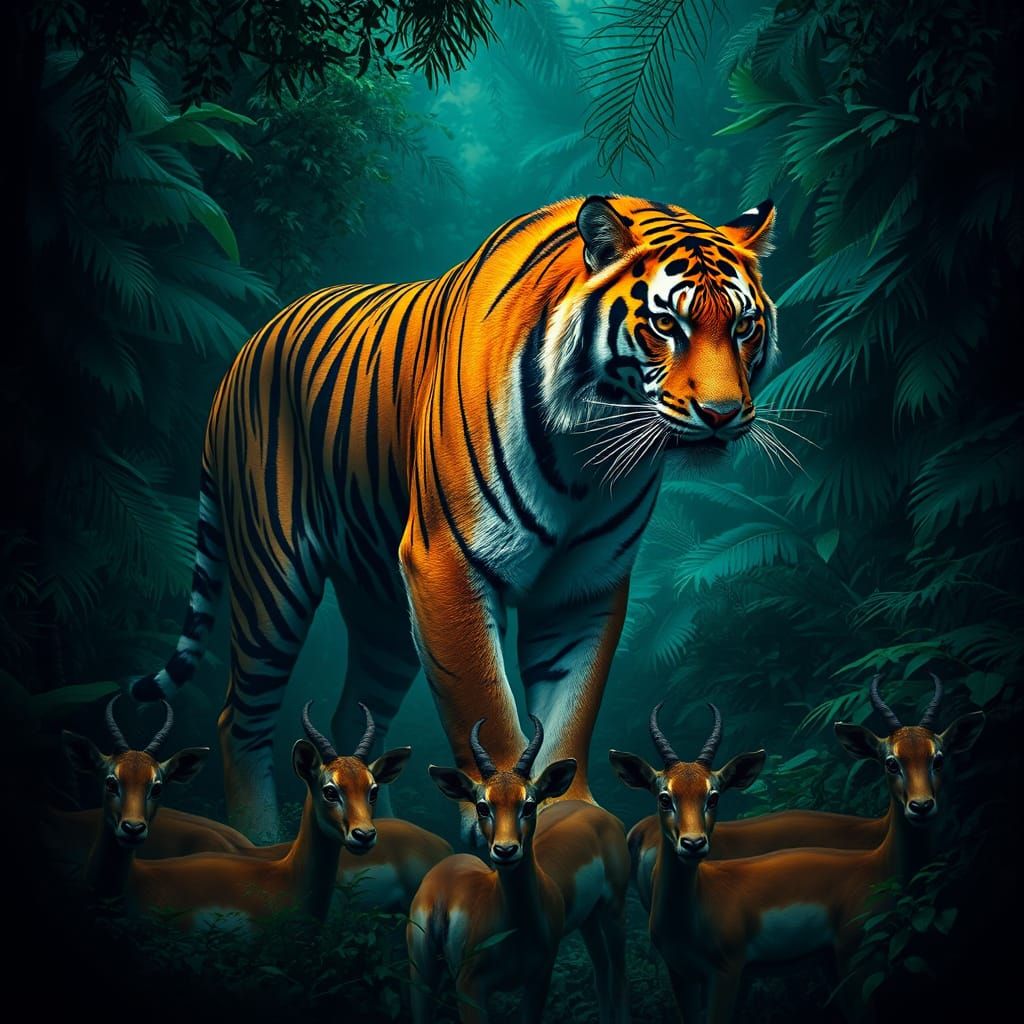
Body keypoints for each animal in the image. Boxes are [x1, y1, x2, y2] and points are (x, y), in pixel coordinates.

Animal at [131, 194, 778, 841]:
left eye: (743, 327)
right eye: (667, 325)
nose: (721, 414)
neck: (588, 450)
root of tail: (245, 348)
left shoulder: (584, 588)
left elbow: (572, 706)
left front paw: (570, 812)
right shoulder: (446, 562)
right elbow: (484, 703)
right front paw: (501, 814)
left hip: (382, 611)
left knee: (352, 717)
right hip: (273, 580)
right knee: (237, 720)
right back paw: (259, 838)